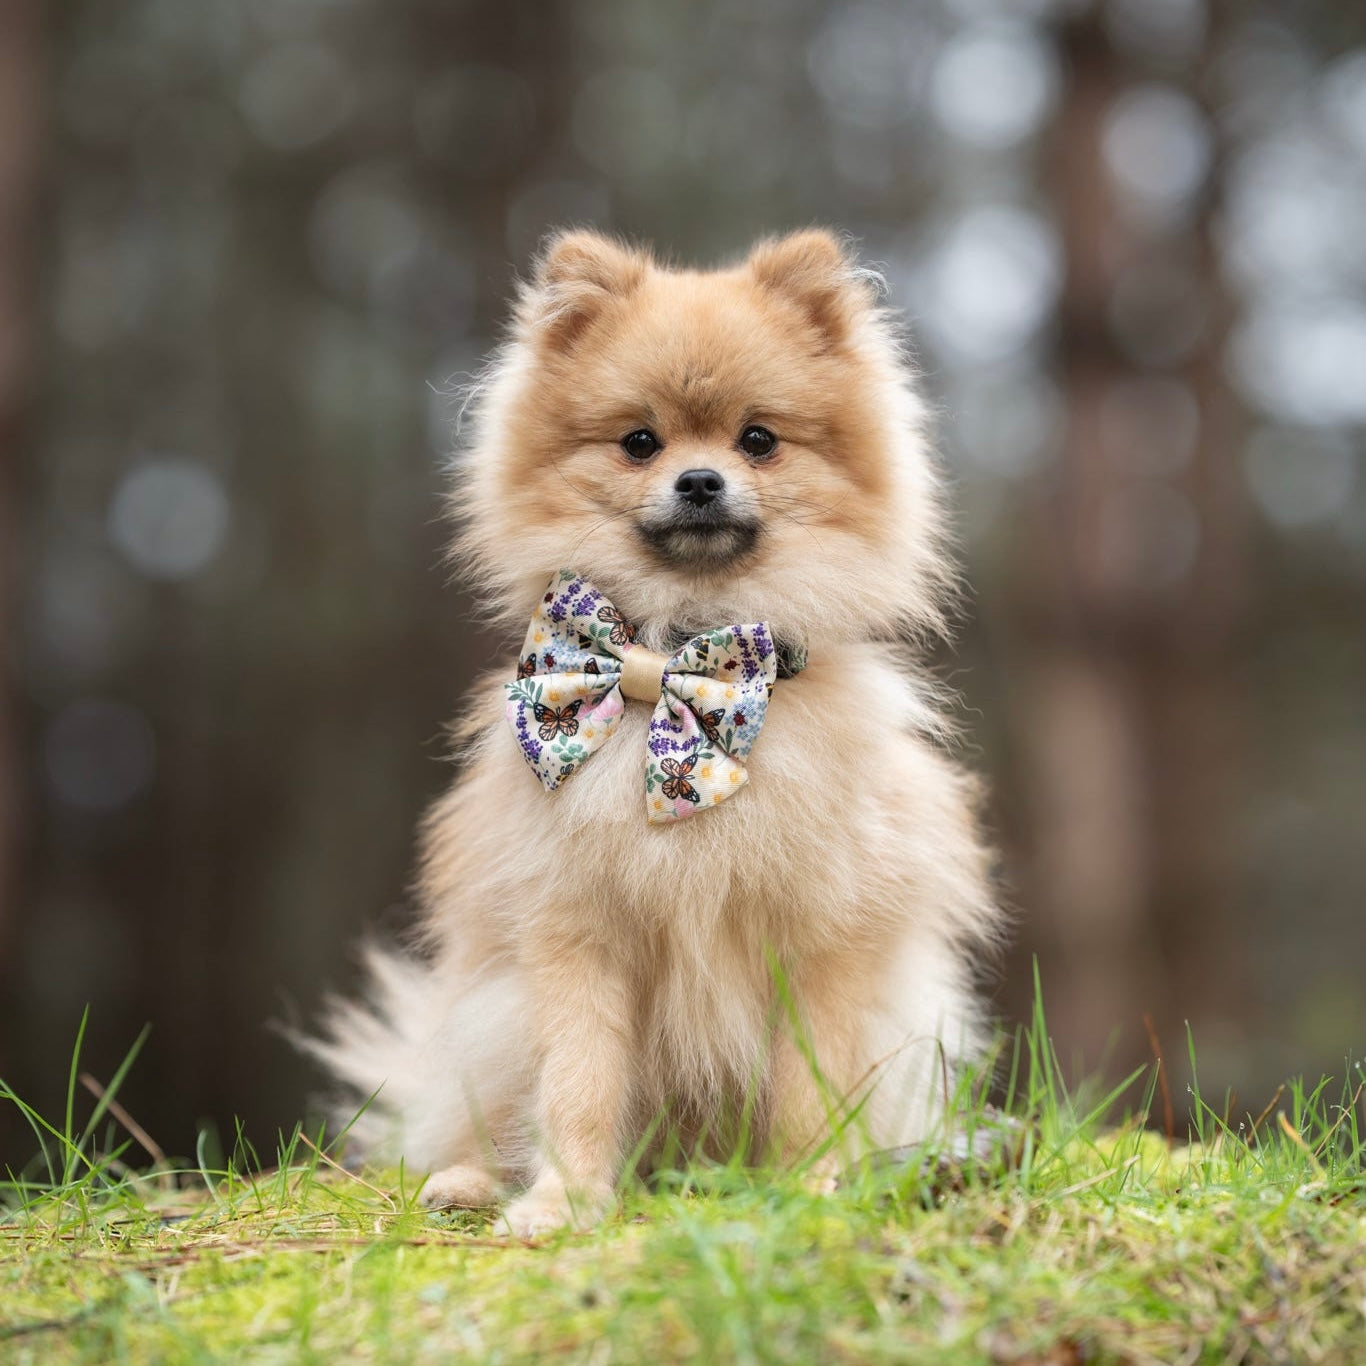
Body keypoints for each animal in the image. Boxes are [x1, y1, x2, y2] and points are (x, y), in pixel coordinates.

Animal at [314, 226, 1010, 1240]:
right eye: (639, 442)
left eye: (758, 440)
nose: (700, 478)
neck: (674, 660)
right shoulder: (576, 931)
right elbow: (578, 1081)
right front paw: (564, 1201)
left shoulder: (821, 941)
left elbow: (811, 1090)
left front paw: (809, 1188)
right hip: (492, 1015)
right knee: (482, 1112)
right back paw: (471, 1181)